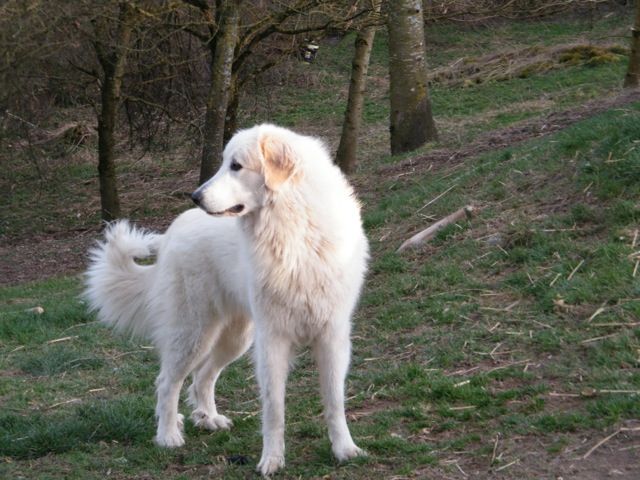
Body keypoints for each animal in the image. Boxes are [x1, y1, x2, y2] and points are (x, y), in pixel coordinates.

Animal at [84, 124, 370, 476]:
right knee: (167, 382)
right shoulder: (272, 340)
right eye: (223, 163)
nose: (195, 196)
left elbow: (334, 400)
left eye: (236, 166)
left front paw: (344, 449)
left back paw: (208, 418)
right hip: (193, 333)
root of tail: (172, 232)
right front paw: (272, 460)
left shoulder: (332, 335)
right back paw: (168, 436)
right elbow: (274, 408)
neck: (294, 232)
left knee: (202, 378)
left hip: (235, 337)